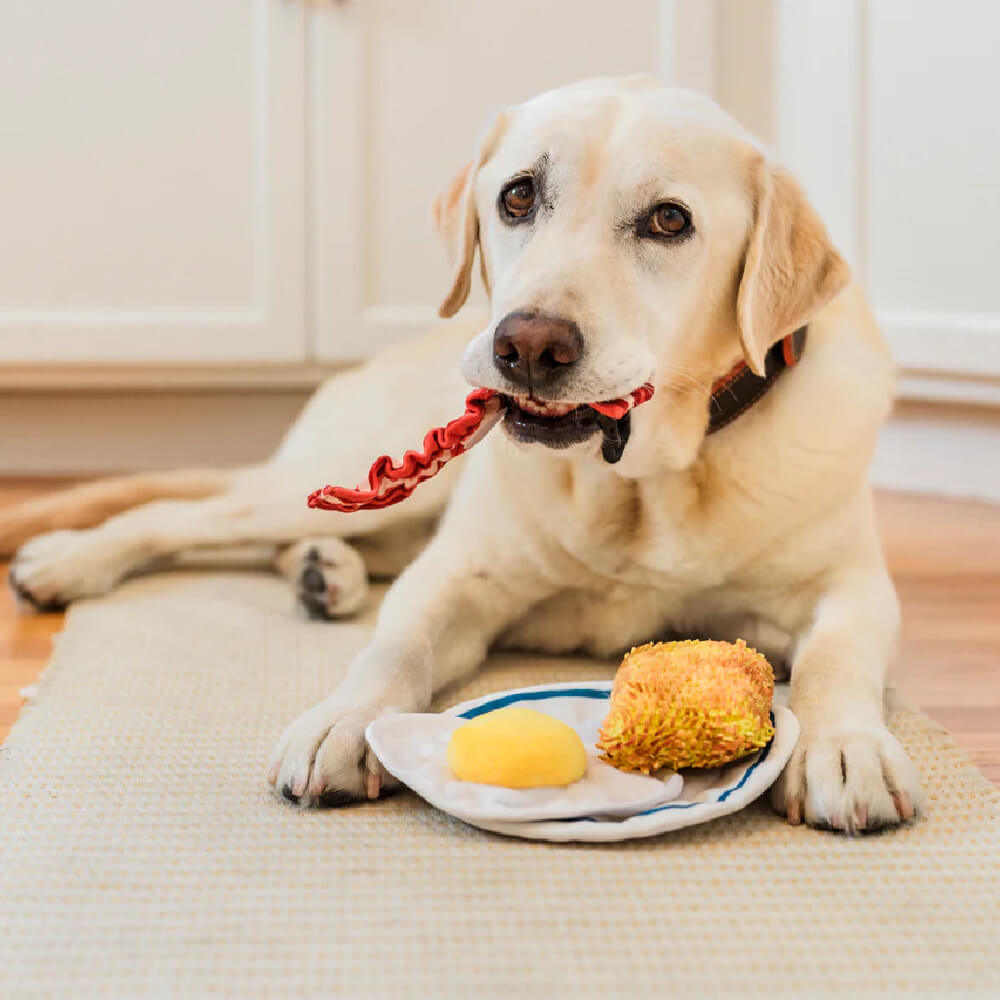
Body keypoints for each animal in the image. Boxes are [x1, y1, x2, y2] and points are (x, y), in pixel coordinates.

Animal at [1, 78, 920, 832]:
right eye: (518, 196)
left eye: (670, 220)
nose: (529, 346)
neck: (643, 481)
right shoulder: (459, 575)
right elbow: (395, 644)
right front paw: (344, 721)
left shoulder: (849, 585)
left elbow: (837, 656)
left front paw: (844, 747)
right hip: (365, 483)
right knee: (180, 514)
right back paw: (70, 561)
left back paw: (320, 572)